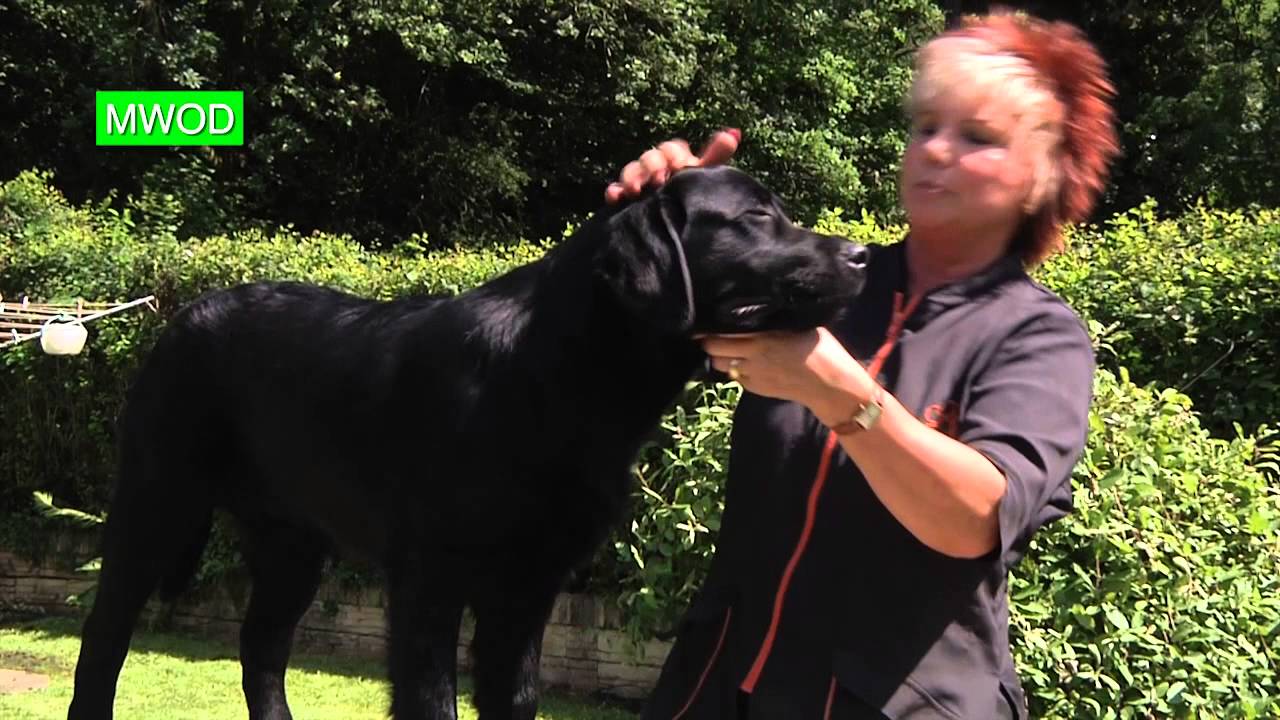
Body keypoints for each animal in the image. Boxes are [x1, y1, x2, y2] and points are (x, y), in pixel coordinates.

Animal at [70, 163, 870, 717]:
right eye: (755, 217)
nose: (862, 254)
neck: (565, 377)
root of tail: (180, 316)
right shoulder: (431, 579)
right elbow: (432, 700)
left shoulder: (529, 586)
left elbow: (514, 697)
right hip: (154, 504)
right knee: (102, 646)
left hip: (294, 545)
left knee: (260, 649)